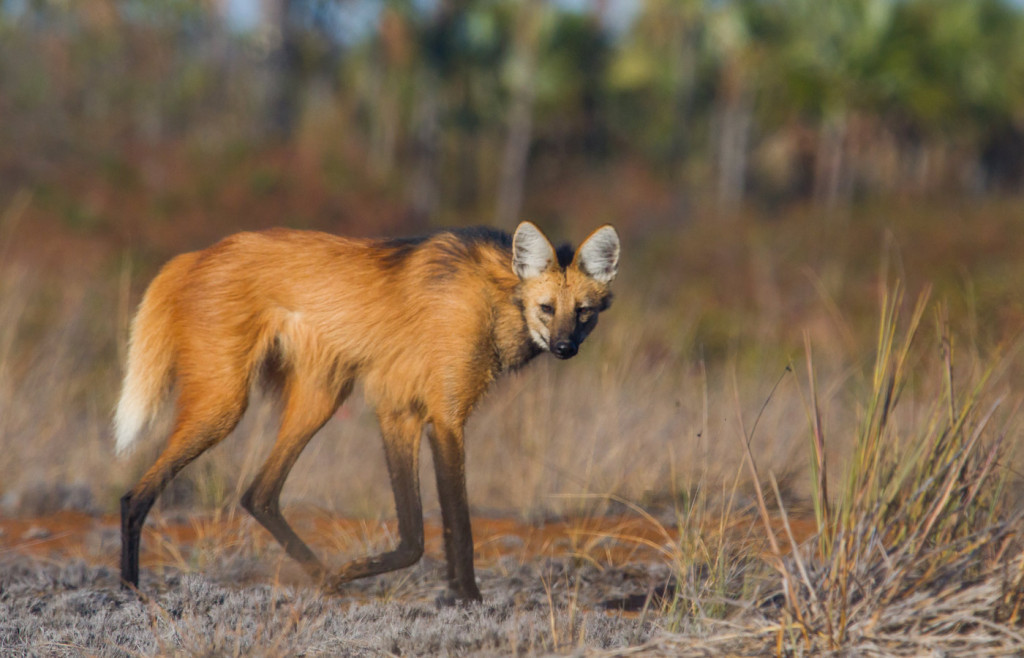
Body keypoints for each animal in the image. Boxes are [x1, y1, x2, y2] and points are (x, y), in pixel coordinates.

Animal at [116, 221, 618, 601]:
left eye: (584, 312)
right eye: (546, 308)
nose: (565, 348)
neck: (495, 301)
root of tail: (195, 255)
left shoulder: (403, 413)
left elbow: (417, 536)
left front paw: (355, 575)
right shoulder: (443, 419)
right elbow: (454, 529)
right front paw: (470, 601)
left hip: (321, 397)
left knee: (259, 494)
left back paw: (323, 579)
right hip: (224, 405)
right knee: (135, 497)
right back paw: (129, 593)